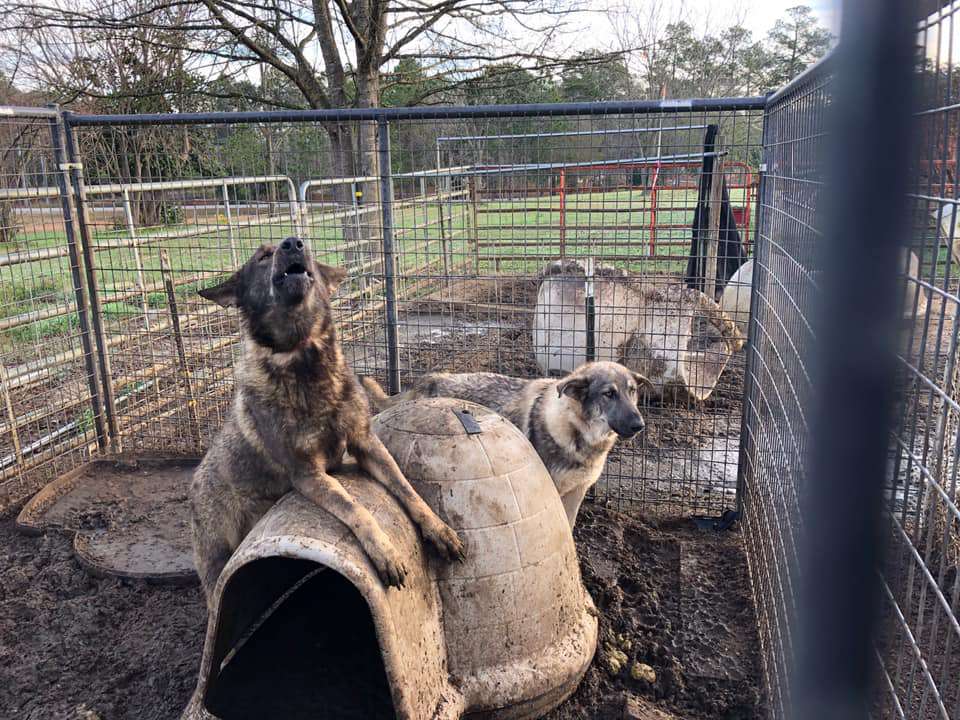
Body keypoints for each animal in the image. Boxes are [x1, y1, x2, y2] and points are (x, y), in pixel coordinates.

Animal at [188, 239, 464, 604]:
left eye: (297, 245)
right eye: (262, 256)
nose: (293, 243)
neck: (305, 355)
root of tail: (194, 485)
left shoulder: (365, 442)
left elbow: (407, 489)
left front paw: (439, 530)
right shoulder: (308, 474)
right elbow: (354, 507)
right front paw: (385, 552)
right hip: (216, 561)